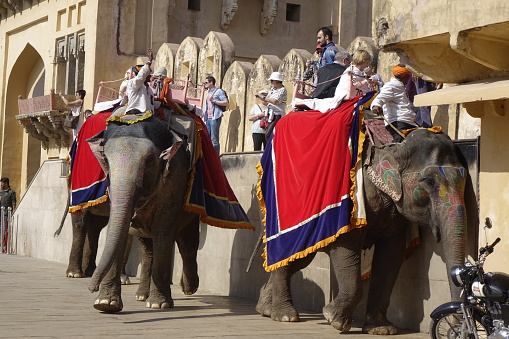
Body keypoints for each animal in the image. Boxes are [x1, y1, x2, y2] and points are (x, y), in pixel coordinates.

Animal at [84, 115, 199, 314]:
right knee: (148, 248)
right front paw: (105, 304)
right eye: (105, 158)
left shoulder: (176, 176)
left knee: (189, 244)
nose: (91, 288)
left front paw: (159, 305)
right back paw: (142, 295)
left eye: (150, 159)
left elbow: (164, 228)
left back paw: (189, 288)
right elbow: (119, 228)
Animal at [256, 129, 466, 336]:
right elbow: (346, 250)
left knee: (297, 260)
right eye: (428, 183)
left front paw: (382, 329)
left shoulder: (395, 215)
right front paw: (333, 318)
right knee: (290, 257)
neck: (394, 146)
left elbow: (390, 257)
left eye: (464, 182)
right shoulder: (352, 204)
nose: (455, 326)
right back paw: (285, 316)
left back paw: (265, 309)